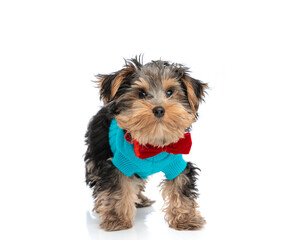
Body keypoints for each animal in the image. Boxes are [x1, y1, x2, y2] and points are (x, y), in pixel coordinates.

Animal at [83, 56, 207, 231]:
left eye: (170, 92)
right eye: (141, 93)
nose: (159, 109)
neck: (152, 144)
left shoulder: (176, 163)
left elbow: (181, 184)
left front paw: (186, 218)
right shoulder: (118, 164)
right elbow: (118, 187)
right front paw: (117, 219)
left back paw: (140, 199)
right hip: (97, 152)